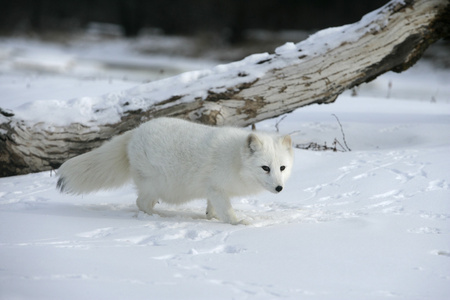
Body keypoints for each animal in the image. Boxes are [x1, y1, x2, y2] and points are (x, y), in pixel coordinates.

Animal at [56, 116, 294, 224]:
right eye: (265, 168)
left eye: (282, 168)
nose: (280, 188)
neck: (236, 159)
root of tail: (135, 131)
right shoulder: (217, 188)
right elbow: (227, 211)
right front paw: (237, 223)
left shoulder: (213, 189)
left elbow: (212, 208)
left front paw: (211, 217)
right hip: (156, 185)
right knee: (140, 203)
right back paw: (158, 216)